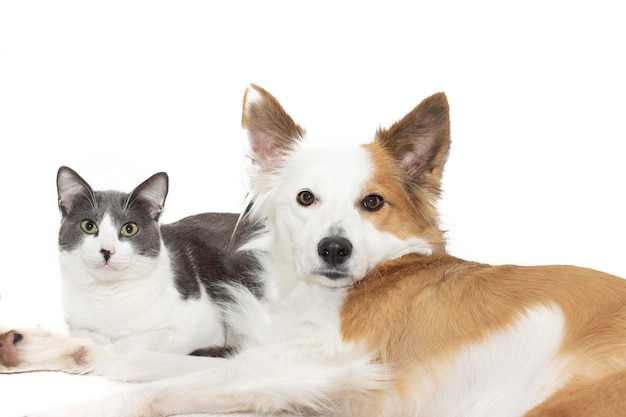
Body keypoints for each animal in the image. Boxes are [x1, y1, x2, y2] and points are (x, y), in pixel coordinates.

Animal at [53, 166, 258, 354]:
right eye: (88, 226)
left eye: (129, 229)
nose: (107, 251)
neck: (107, 296)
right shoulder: (74, 324)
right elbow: (83, 333)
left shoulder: (202, 328)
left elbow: (133, 343)